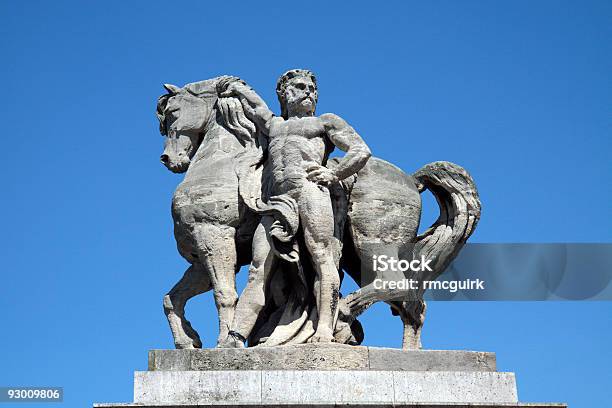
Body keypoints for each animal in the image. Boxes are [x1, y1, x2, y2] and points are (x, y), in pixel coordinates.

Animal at [155, 77, 480, 350]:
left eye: (172, 112)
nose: (169, 159)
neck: (224, 163)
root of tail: (412, 180)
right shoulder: (200, 257)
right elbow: (172, 298)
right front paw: (188, 342)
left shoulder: (213, 236)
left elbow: (223, 294)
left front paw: (223, 344)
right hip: (356, 256)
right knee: (412, 304)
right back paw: (404, 351)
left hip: (371, 243)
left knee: (393, 285)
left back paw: (342, 319)